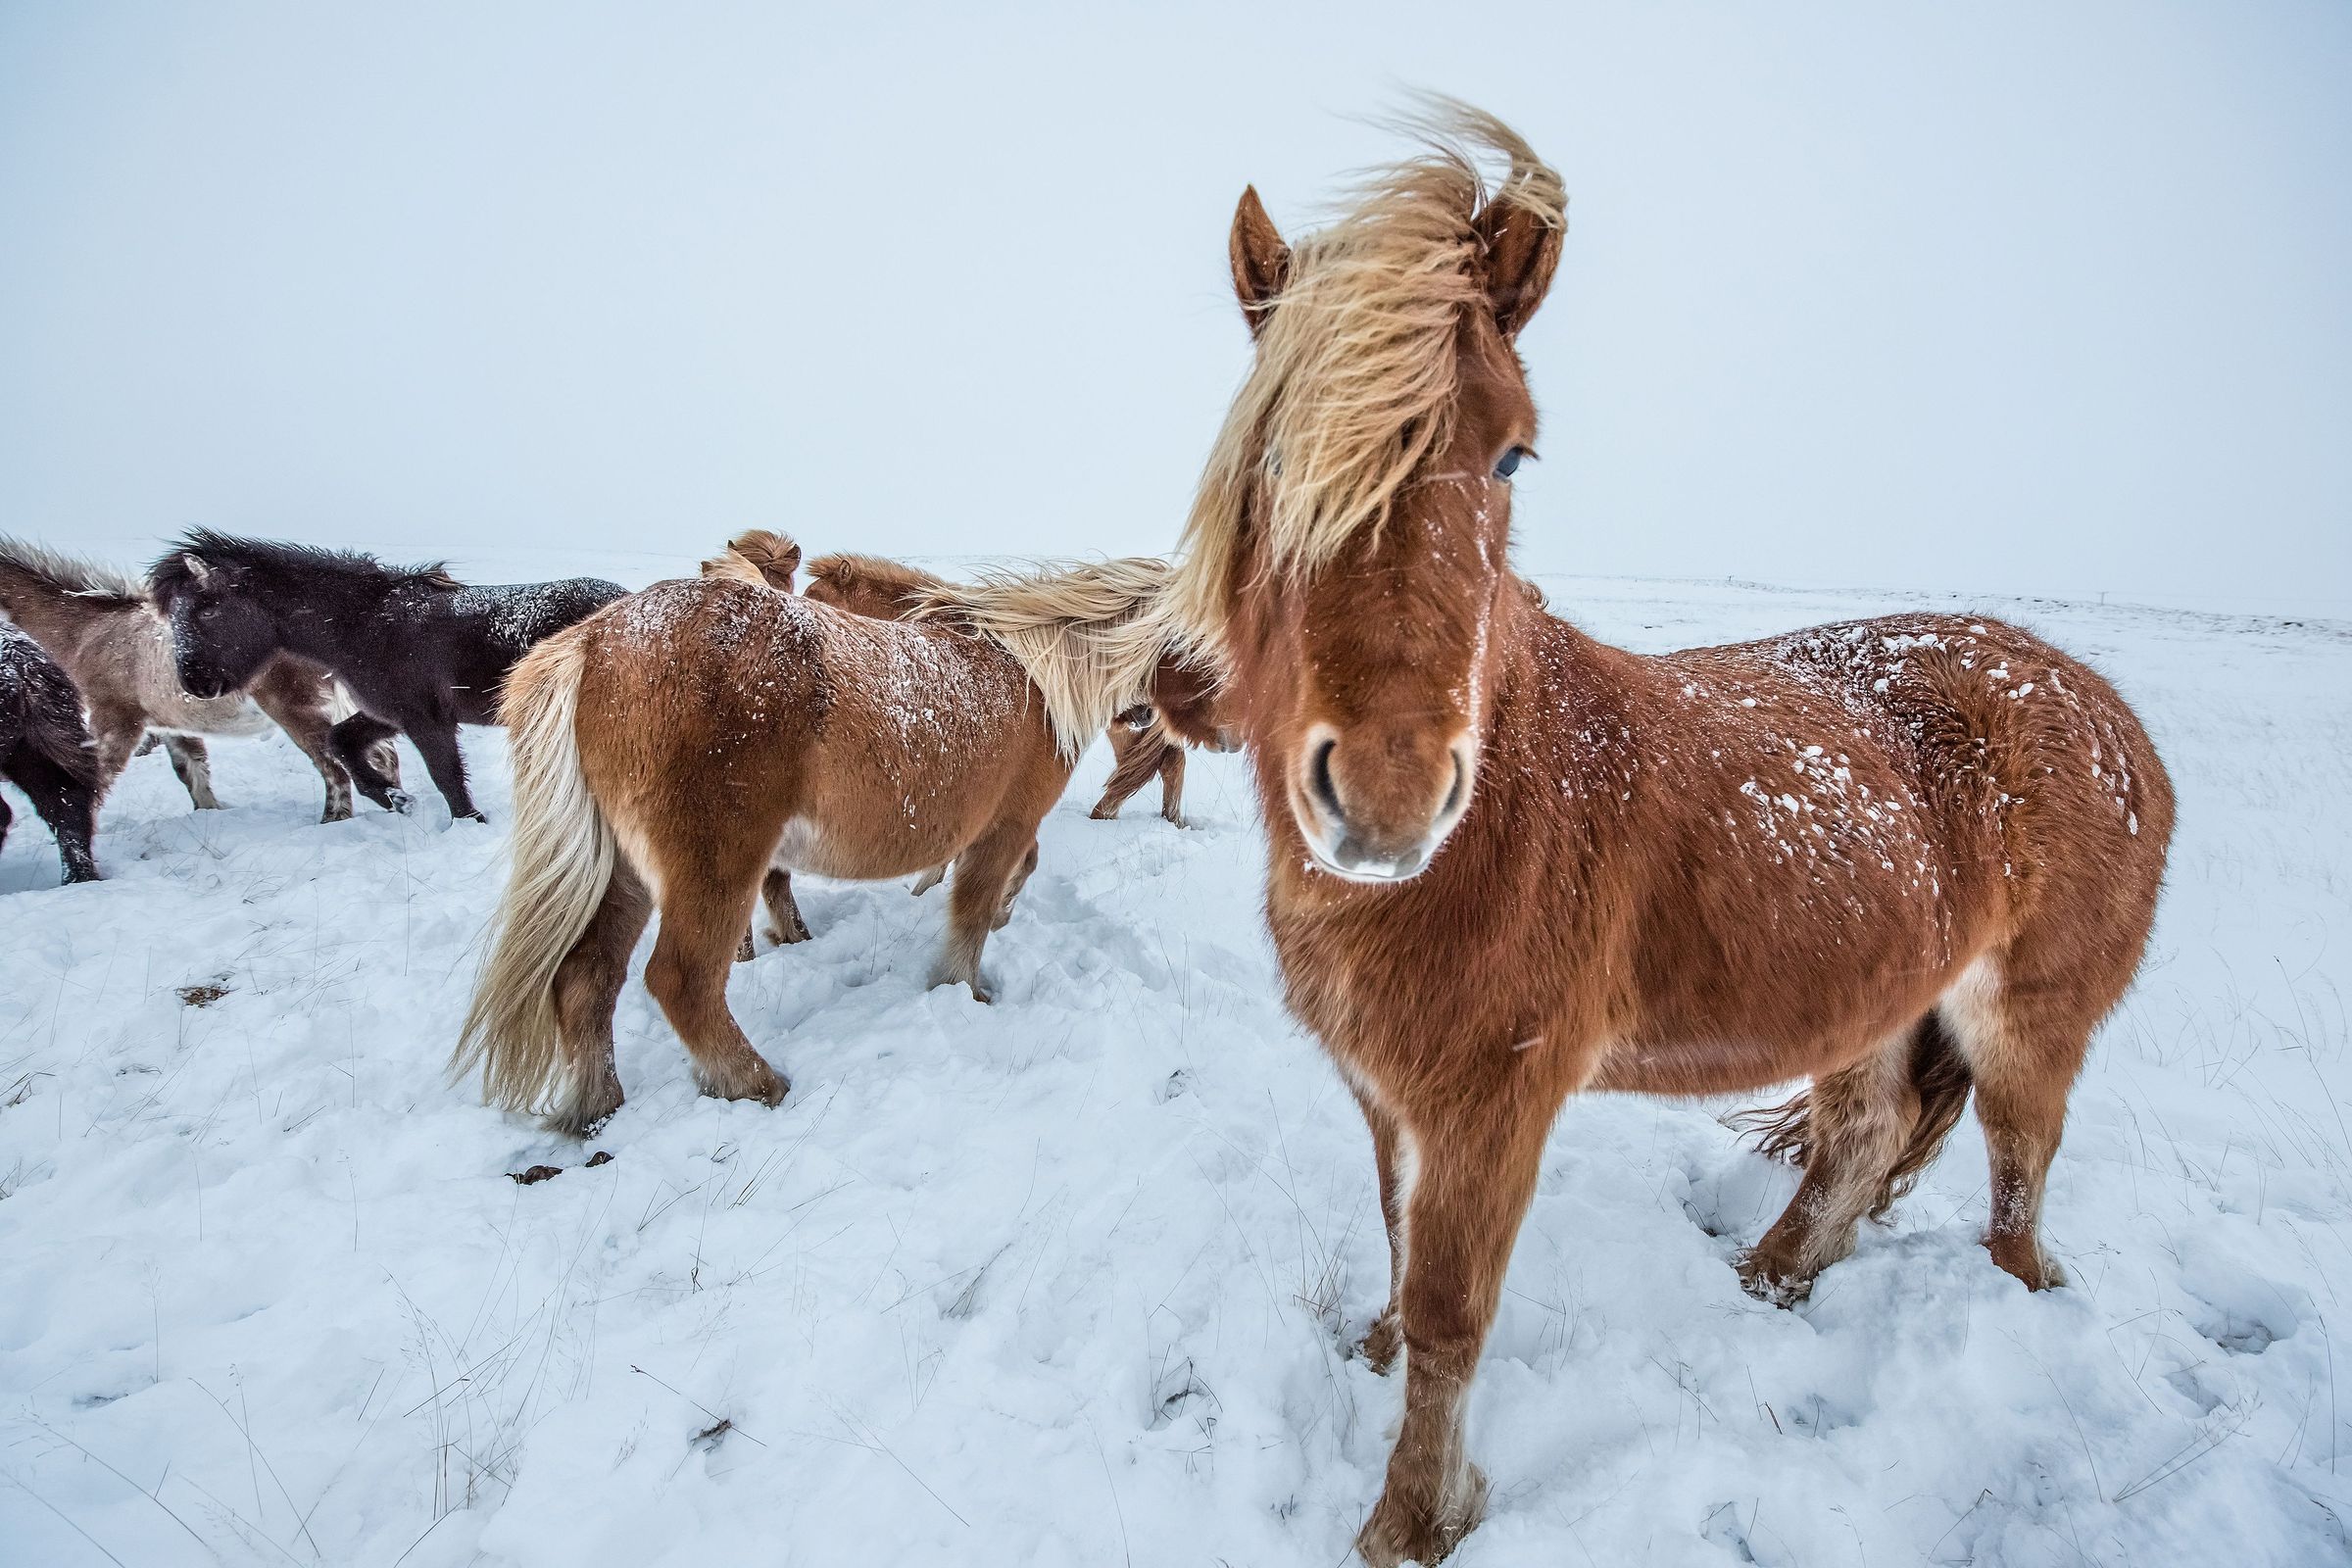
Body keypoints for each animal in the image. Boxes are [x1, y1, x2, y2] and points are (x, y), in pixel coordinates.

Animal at [0, 538, 386, 821]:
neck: (88, 633)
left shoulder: (117, 721)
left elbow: (96, 778)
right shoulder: (171, 725)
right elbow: (192, 771)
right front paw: (208, 812)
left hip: (296, 711)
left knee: (334, 768)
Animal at [147, 531, 626, 823]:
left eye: (206, 610)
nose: (194, 683)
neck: (365, 625)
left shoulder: (427, 720)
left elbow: (447, 777)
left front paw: (468, 821)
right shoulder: (388, 713)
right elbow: (341, 741)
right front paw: (392, 798)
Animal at [454, 558, 1217, 1136]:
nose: (1231, 732)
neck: (1034, 675)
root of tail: (593, 644)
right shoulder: (1004, 827)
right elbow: (973, 910)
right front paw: (963, 986)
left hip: (626, 873)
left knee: (587, 980)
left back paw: (597, 1108)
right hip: (714, 867)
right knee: (682, 982)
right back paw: (756, 1084)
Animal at [1169, 103, 2174, 1565]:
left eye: (1513, 453)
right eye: (1275, 455)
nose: (1390, 796)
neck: (1508, 814)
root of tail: (2104, 710)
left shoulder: (1493, 1103)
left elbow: (1452, 1308)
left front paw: (1414, 1520)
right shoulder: (1387, 1092)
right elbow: (1399, 1251)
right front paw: (1371, 1358)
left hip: (2026, 1020)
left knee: (2018, 1171)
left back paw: (1986, 1296)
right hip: (1876, 993)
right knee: (1863, 1132)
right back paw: (1769, 1286)